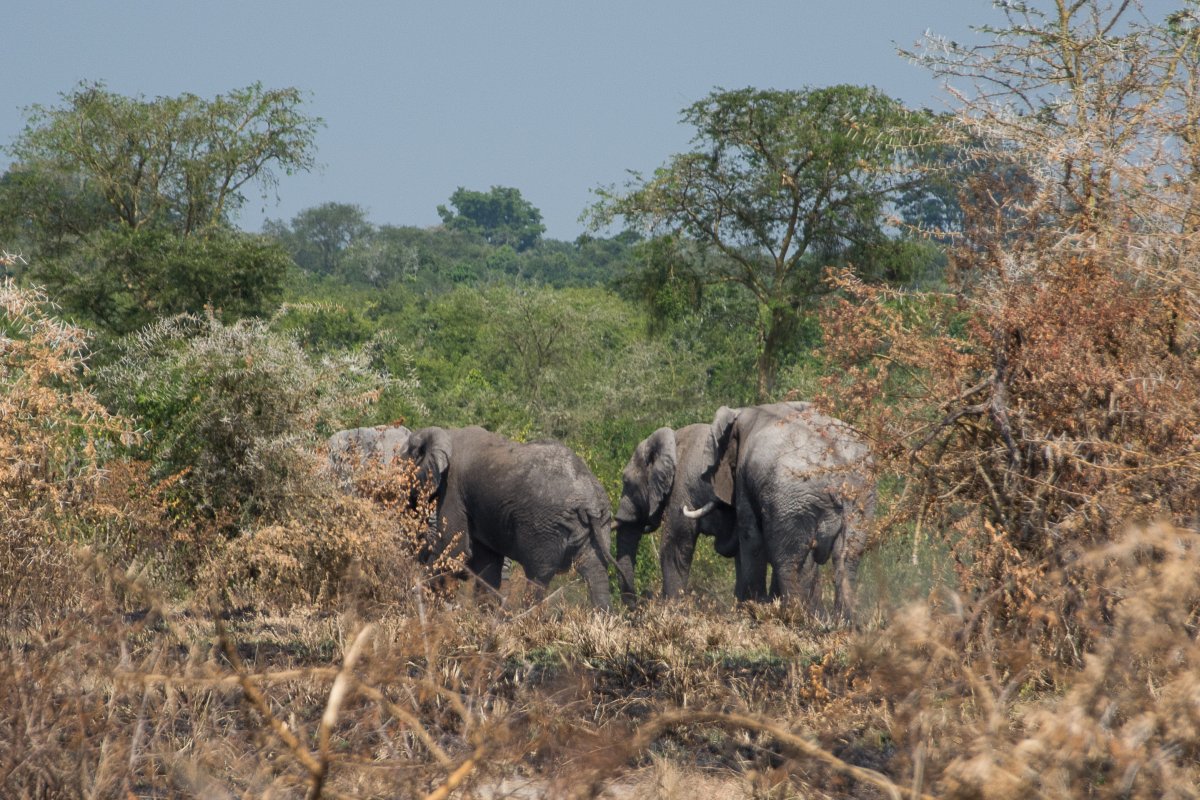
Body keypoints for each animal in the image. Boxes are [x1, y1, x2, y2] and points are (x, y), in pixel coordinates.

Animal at [400, 429, 614, 609]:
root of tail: (588, 501)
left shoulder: (452, 489)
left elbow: (454, 548)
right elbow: (487, 562)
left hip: (544, 526)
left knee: (538, 574)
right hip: (599, 524)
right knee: (595, 572)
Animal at [691, 400, 878, 618]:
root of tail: (836, 469)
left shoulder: (745, 479)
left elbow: (751, 538)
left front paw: (753, 610)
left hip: (792, 496)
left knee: (789, 561)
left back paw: (794, 617)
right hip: (861, 498)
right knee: (846, 558)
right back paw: (840, 622)